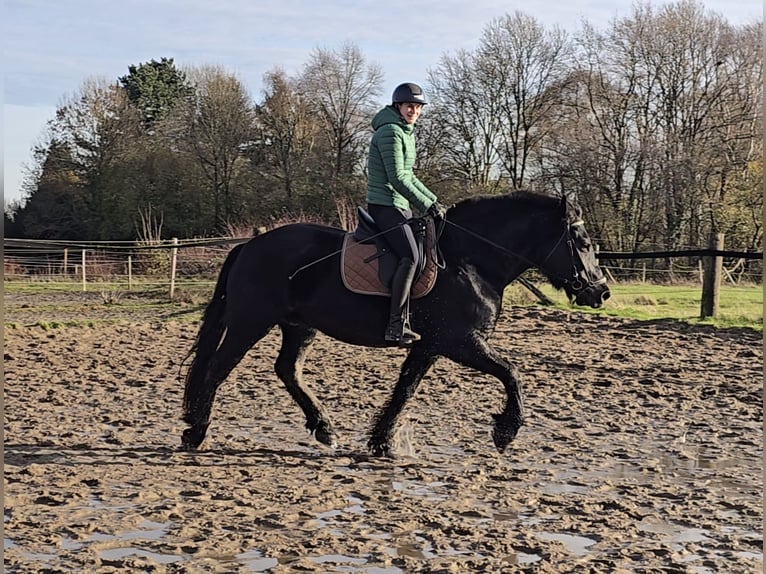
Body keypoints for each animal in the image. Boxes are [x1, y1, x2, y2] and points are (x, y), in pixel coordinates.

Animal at [181, 190, 610, 457]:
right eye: (583, 241)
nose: (601, 292)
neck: (470, 261)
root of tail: (250, 245)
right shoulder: (461, 341)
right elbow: (511, 373)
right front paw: (506, 432)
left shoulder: (429, 345)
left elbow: (405, 390)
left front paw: (381, 442)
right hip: (250, 323)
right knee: (217, 370)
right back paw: (196, 432)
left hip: (299, 326)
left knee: (287, 369)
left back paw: (323, 428)